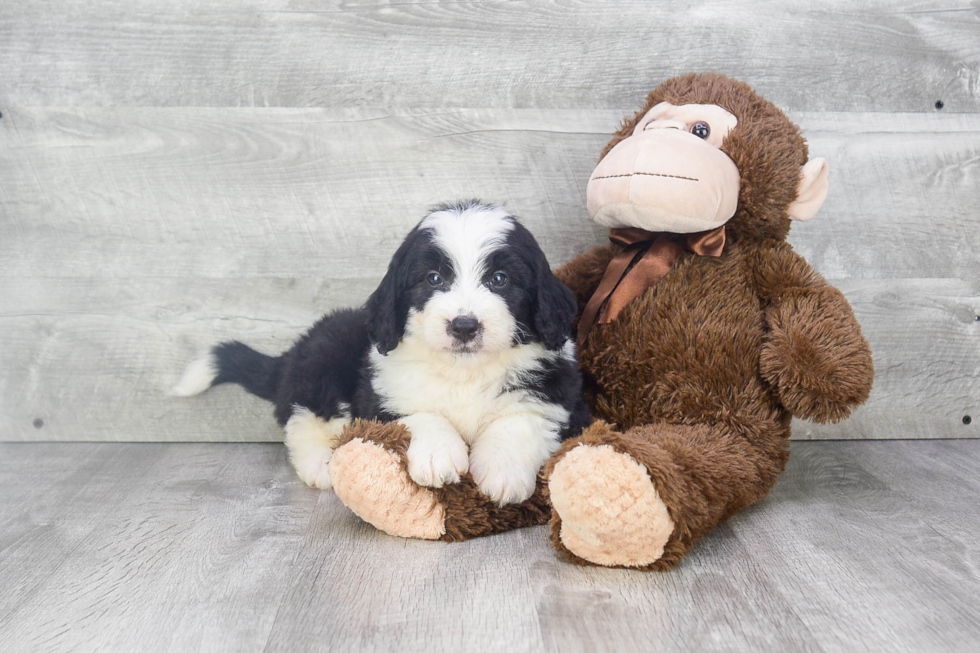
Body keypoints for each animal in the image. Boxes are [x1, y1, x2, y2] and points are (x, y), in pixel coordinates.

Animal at [173, 201, 588, 506]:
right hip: (322, 360)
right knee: (303, 418)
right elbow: (420, 413)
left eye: (500, 280)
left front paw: (503, 474)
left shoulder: (555, 396)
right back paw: (321, 465)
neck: (464, 371)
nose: (464, 325)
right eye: (433, 279)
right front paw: (438, 456)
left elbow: (518, 423)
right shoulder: (383, 391)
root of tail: (293, 354)